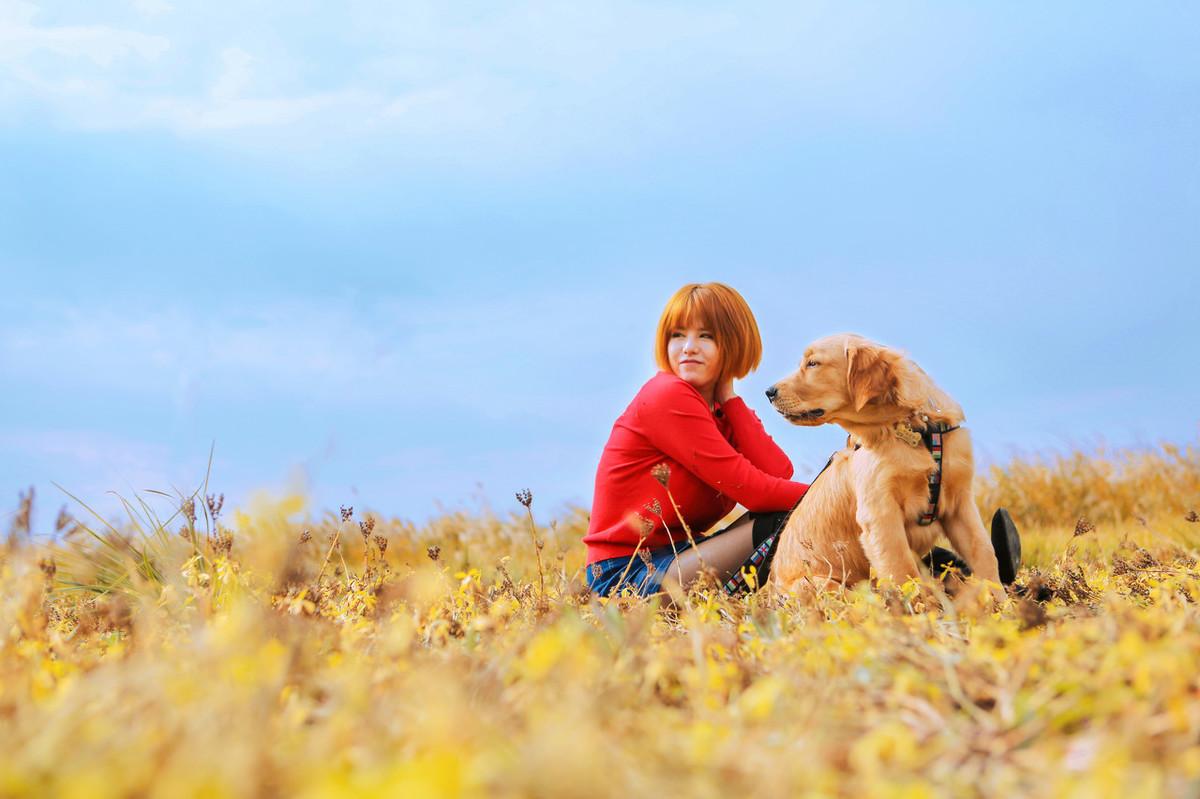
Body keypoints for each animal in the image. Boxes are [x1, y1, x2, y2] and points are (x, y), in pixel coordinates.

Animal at [763, 333, 1008, 599]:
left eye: (813, 363)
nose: (768, 392)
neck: (910, 429)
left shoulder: (960, 505)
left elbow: (984, 553)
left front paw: (1001, 602)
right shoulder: (880, 514)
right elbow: (903, 571)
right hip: (818, 584)